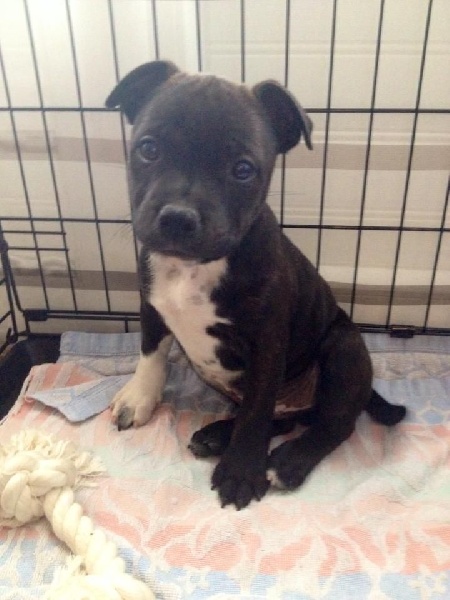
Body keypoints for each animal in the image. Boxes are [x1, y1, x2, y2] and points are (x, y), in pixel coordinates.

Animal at [105, 61, 406, 510]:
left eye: (243, 170)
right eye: (149, 149)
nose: (178, 217)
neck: (194, 268)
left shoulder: (266, 344)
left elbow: (257, 410)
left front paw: (242, 472)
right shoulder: (151, 305)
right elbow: (151, 353)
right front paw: (139, 397)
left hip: (344, 349)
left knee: (331, 423)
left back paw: (285, 463)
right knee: (282, 420)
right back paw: (217, 435)